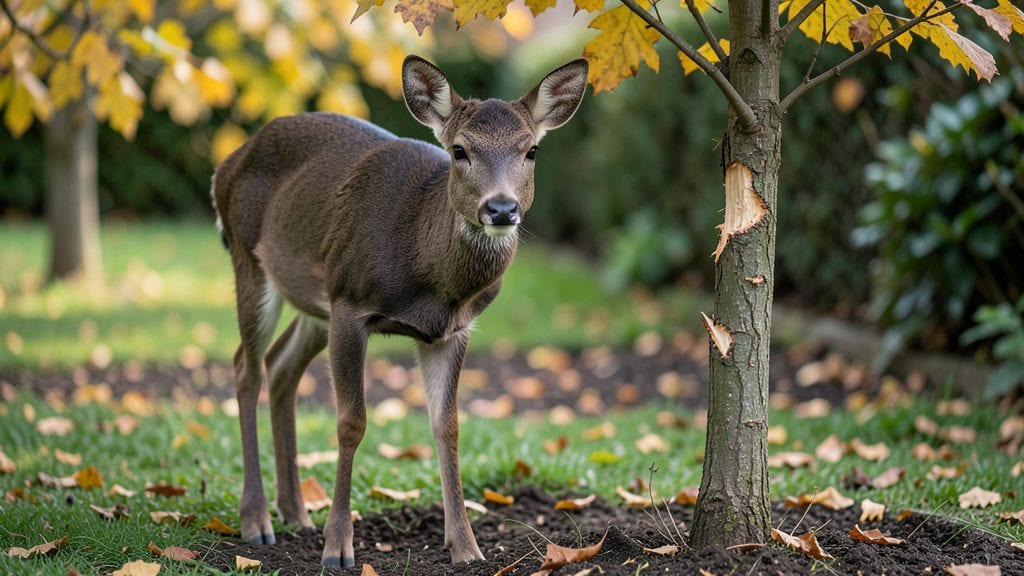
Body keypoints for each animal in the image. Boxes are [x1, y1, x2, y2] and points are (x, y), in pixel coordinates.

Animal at [210, 55, 588, 567]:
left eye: (531, 151)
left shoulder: (452, 330)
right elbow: (351, 422)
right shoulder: (351, 304)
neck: (431, 282)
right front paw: (338, 549)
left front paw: (466, 548)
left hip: (316, 297)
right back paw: (257, 522)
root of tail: (224, 167)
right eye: (460, 150)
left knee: (280, 365)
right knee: (244, 368)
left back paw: (296, 513)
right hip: (251, 259)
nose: (501, 208)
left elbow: (447, 426)